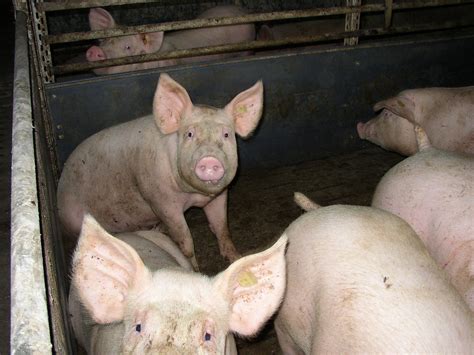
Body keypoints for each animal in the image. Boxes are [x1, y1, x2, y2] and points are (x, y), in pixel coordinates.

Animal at [57, 73, 264, 272]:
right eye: (189, 134)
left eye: (226, 134)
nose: (210, 159)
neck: (194, 195)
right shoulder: (161, 202)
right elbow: (185, 241)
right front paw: (195, 269)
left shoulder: (219, 196)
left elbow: (222, 227)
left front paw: (236, 258)